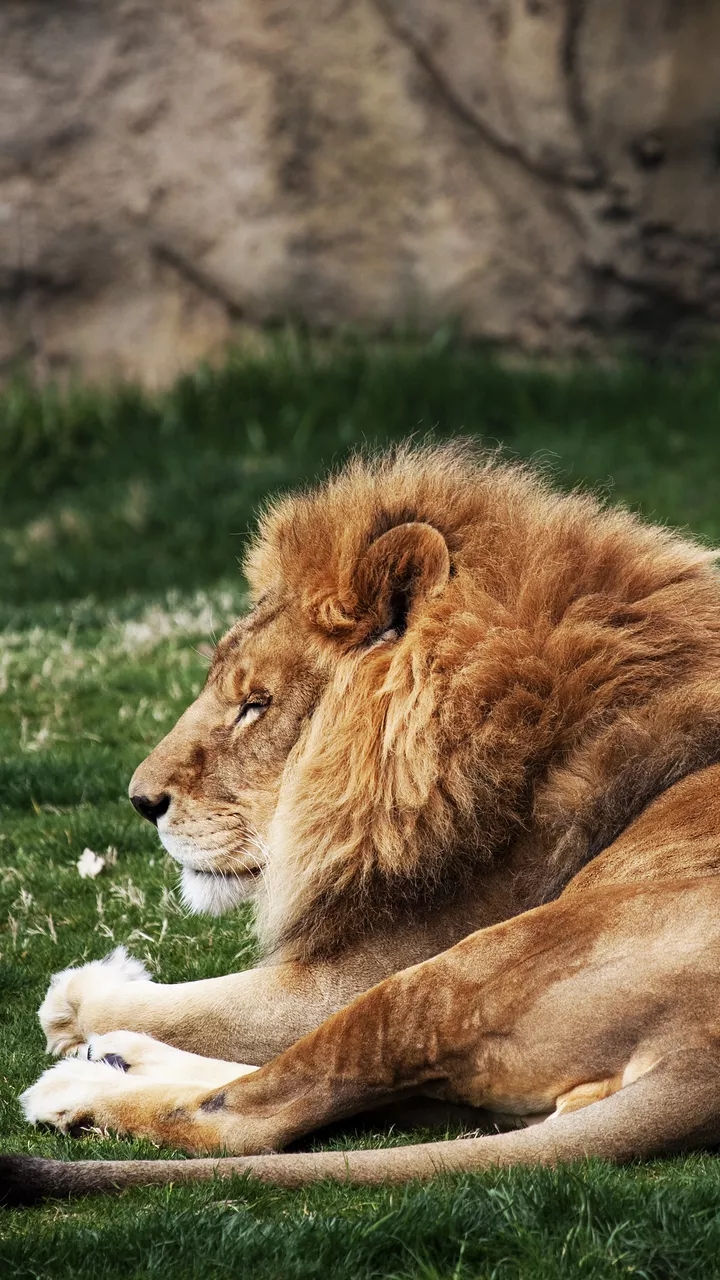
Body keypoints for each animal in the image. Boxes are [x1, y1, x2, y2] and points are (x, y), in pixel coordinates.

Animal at [7, 441, 720, 1204]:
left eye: (256, 704)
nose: (141, 801)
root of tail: (700, 1061)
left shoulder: (350, 975)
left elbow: (195, 1008)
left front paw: (79, 995)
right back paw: (116, 1059)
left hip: (453, 973)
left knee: (254, 1115)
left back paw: (77, 1088)